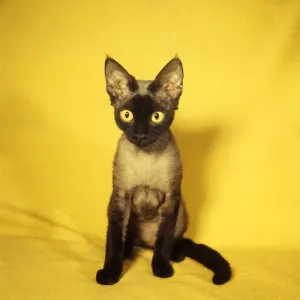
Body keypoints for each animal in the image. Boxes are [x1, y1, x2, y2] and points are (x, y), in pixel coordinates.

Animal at [96, 55, 232, 286]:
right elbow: (113, 241)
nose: (140, 135)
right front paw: (110, 274)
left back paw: (175, 256)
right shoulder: (120, 198)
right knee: (127, 239)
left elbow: (163, 242)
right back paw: (127, 252)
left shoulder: (170, 200)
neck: (146, 157)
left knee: (174, 243)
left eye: (156, 117)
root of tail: (145, 243)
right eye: (127, 115)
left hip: (181, 211)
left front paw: (160, 269)